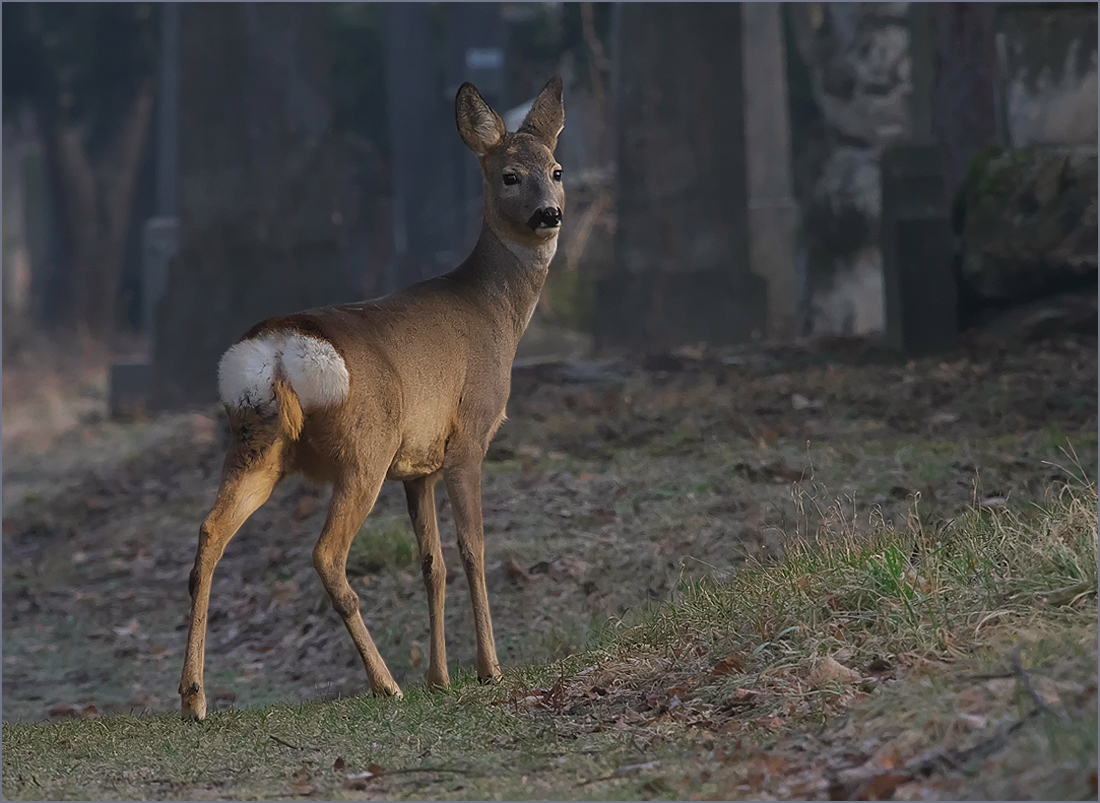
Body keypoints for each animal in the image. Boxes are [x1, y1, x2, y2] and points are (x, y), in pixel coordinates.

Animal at [178, 79, 567, 721]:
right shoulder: (467, 438)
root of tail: (280, 349)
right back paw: (385, 683)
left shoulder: (419, 466)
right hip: (365, 447)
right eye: (510, 175)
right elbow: (472, 549)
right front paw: (487, 669)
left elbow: (431, 563)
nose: (548, 214)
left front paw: (440, 677)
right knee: (325, 554)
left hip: (258, 443)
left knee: (209, 536)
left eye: (557, 170)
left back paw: (194, 698)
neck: (495, 313)